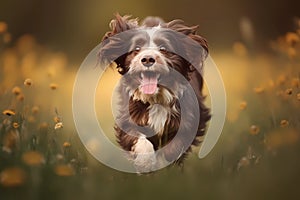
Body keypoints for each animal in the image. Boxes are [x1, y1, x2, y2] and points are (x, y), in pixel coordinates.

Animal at [98, 14, 211, 173]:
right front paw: (145, 164)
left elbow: (178, 141)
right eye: (137, 48)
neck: (156, 98)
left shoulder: (191, 116)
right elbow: (138, 138)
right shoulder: (129, 116)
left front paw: (169, 161)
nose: (147, 59)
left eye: (163, 48)